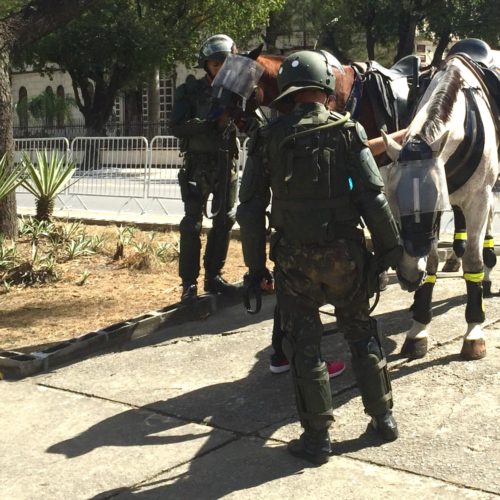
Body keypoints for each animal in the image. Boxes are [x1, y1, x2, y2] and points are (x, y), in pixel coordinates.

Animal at [382, 53, 496, 360]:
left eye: (432, 204)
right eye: (392, 202)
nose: (409, 276)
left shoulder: (478, 198)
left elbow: (473, 261)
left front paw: (474, 332)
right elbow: (431, 262)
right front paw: (419, 328)